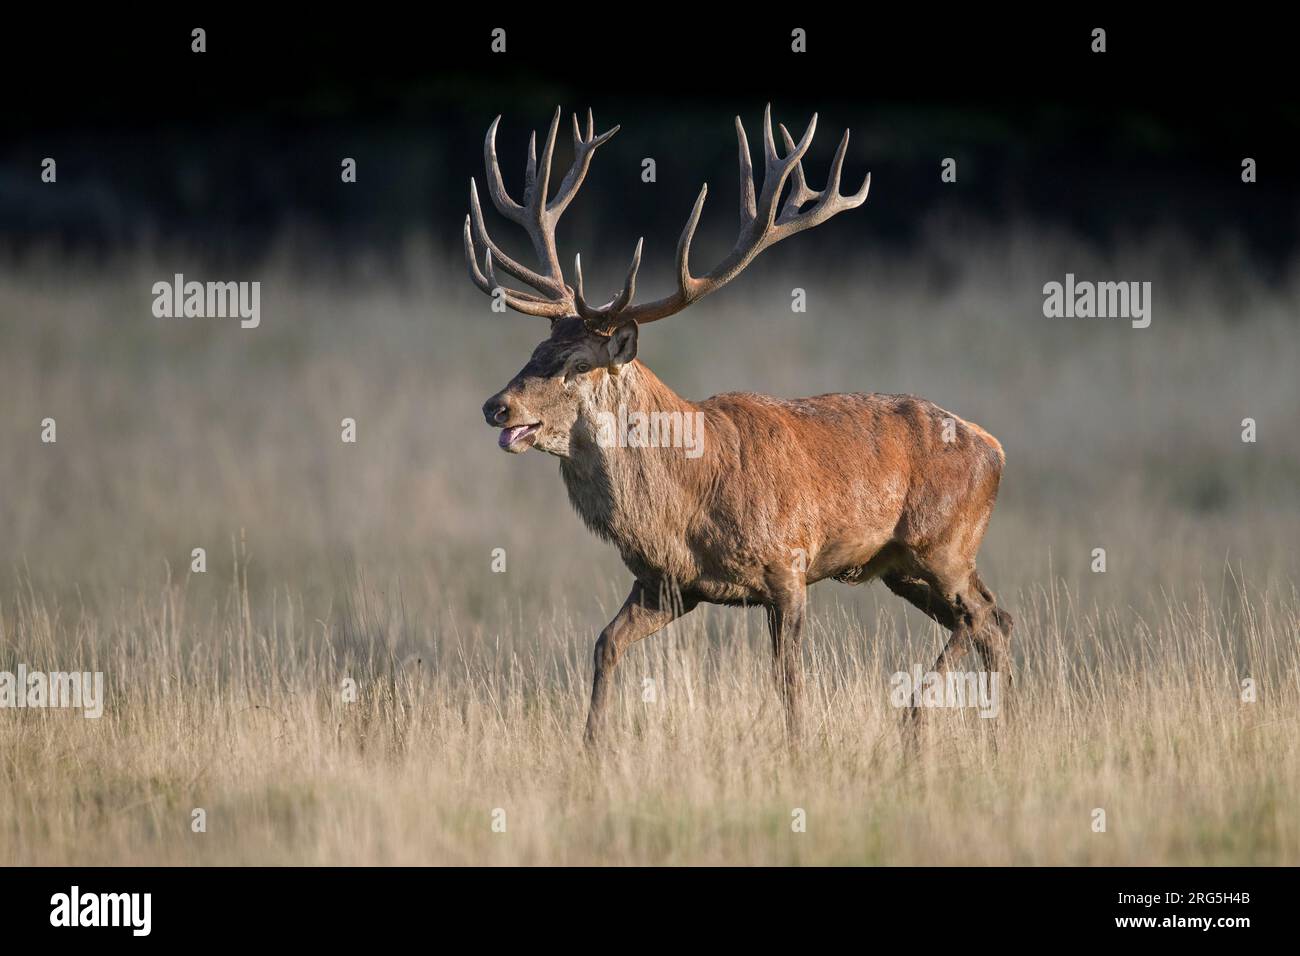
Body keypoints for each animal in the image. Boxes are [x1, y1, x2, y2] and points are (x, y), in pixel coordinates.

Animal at [467, 106, 1013, 749]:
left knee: (983, 616)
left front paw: (799, 750)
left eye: (577, 364)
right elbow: (604, 645)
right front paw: (592, 746)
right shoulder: (666, 583)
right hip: (902, 567)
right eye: (534, 351)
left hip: (943, 543)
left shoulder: (788, 563)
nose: (497, 406)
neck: (686, 502)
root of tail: (995, 448)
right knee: (994, 621)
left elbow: (789, 679)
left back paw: (919, 715)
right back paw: (992, 731)